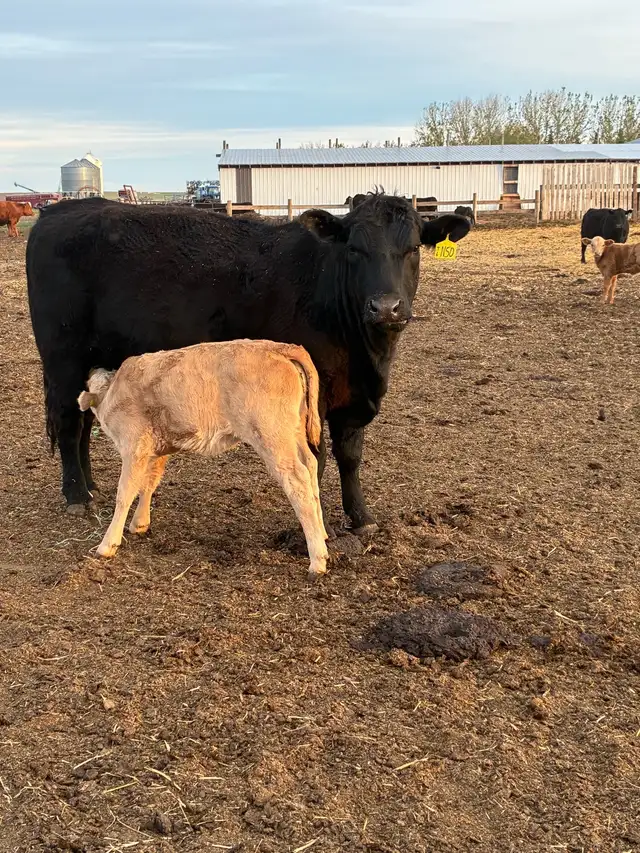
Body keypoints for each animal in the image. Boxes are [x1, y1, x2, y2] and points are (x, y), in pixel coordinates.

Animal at [26, 193, 471, 532]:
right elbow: (317, 460)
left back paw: (91, 486)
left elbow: (350, 456)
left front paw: (361, 518)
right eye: (354, 250)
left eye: (412, 248)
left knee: (84, 421)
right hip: (62, 358)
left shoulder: (353, 397)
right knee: (68, 423)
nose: (386, 307)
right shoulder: (314, 393)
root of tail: (62, 210)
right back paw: (76, 494)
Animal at [78, 340, 329, 578]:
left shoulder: (134, 447)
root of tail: (279, 347)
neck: (114, 389)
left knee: (298, 480)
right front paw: (139, 523)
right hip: (294, 433)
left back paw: (317, 561)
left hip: (272, 437)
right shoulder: (155, 450)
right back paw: (322, 535)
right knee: (311, 465)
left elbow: (124, 493)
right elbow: (148, 484)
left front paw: (107, 544)